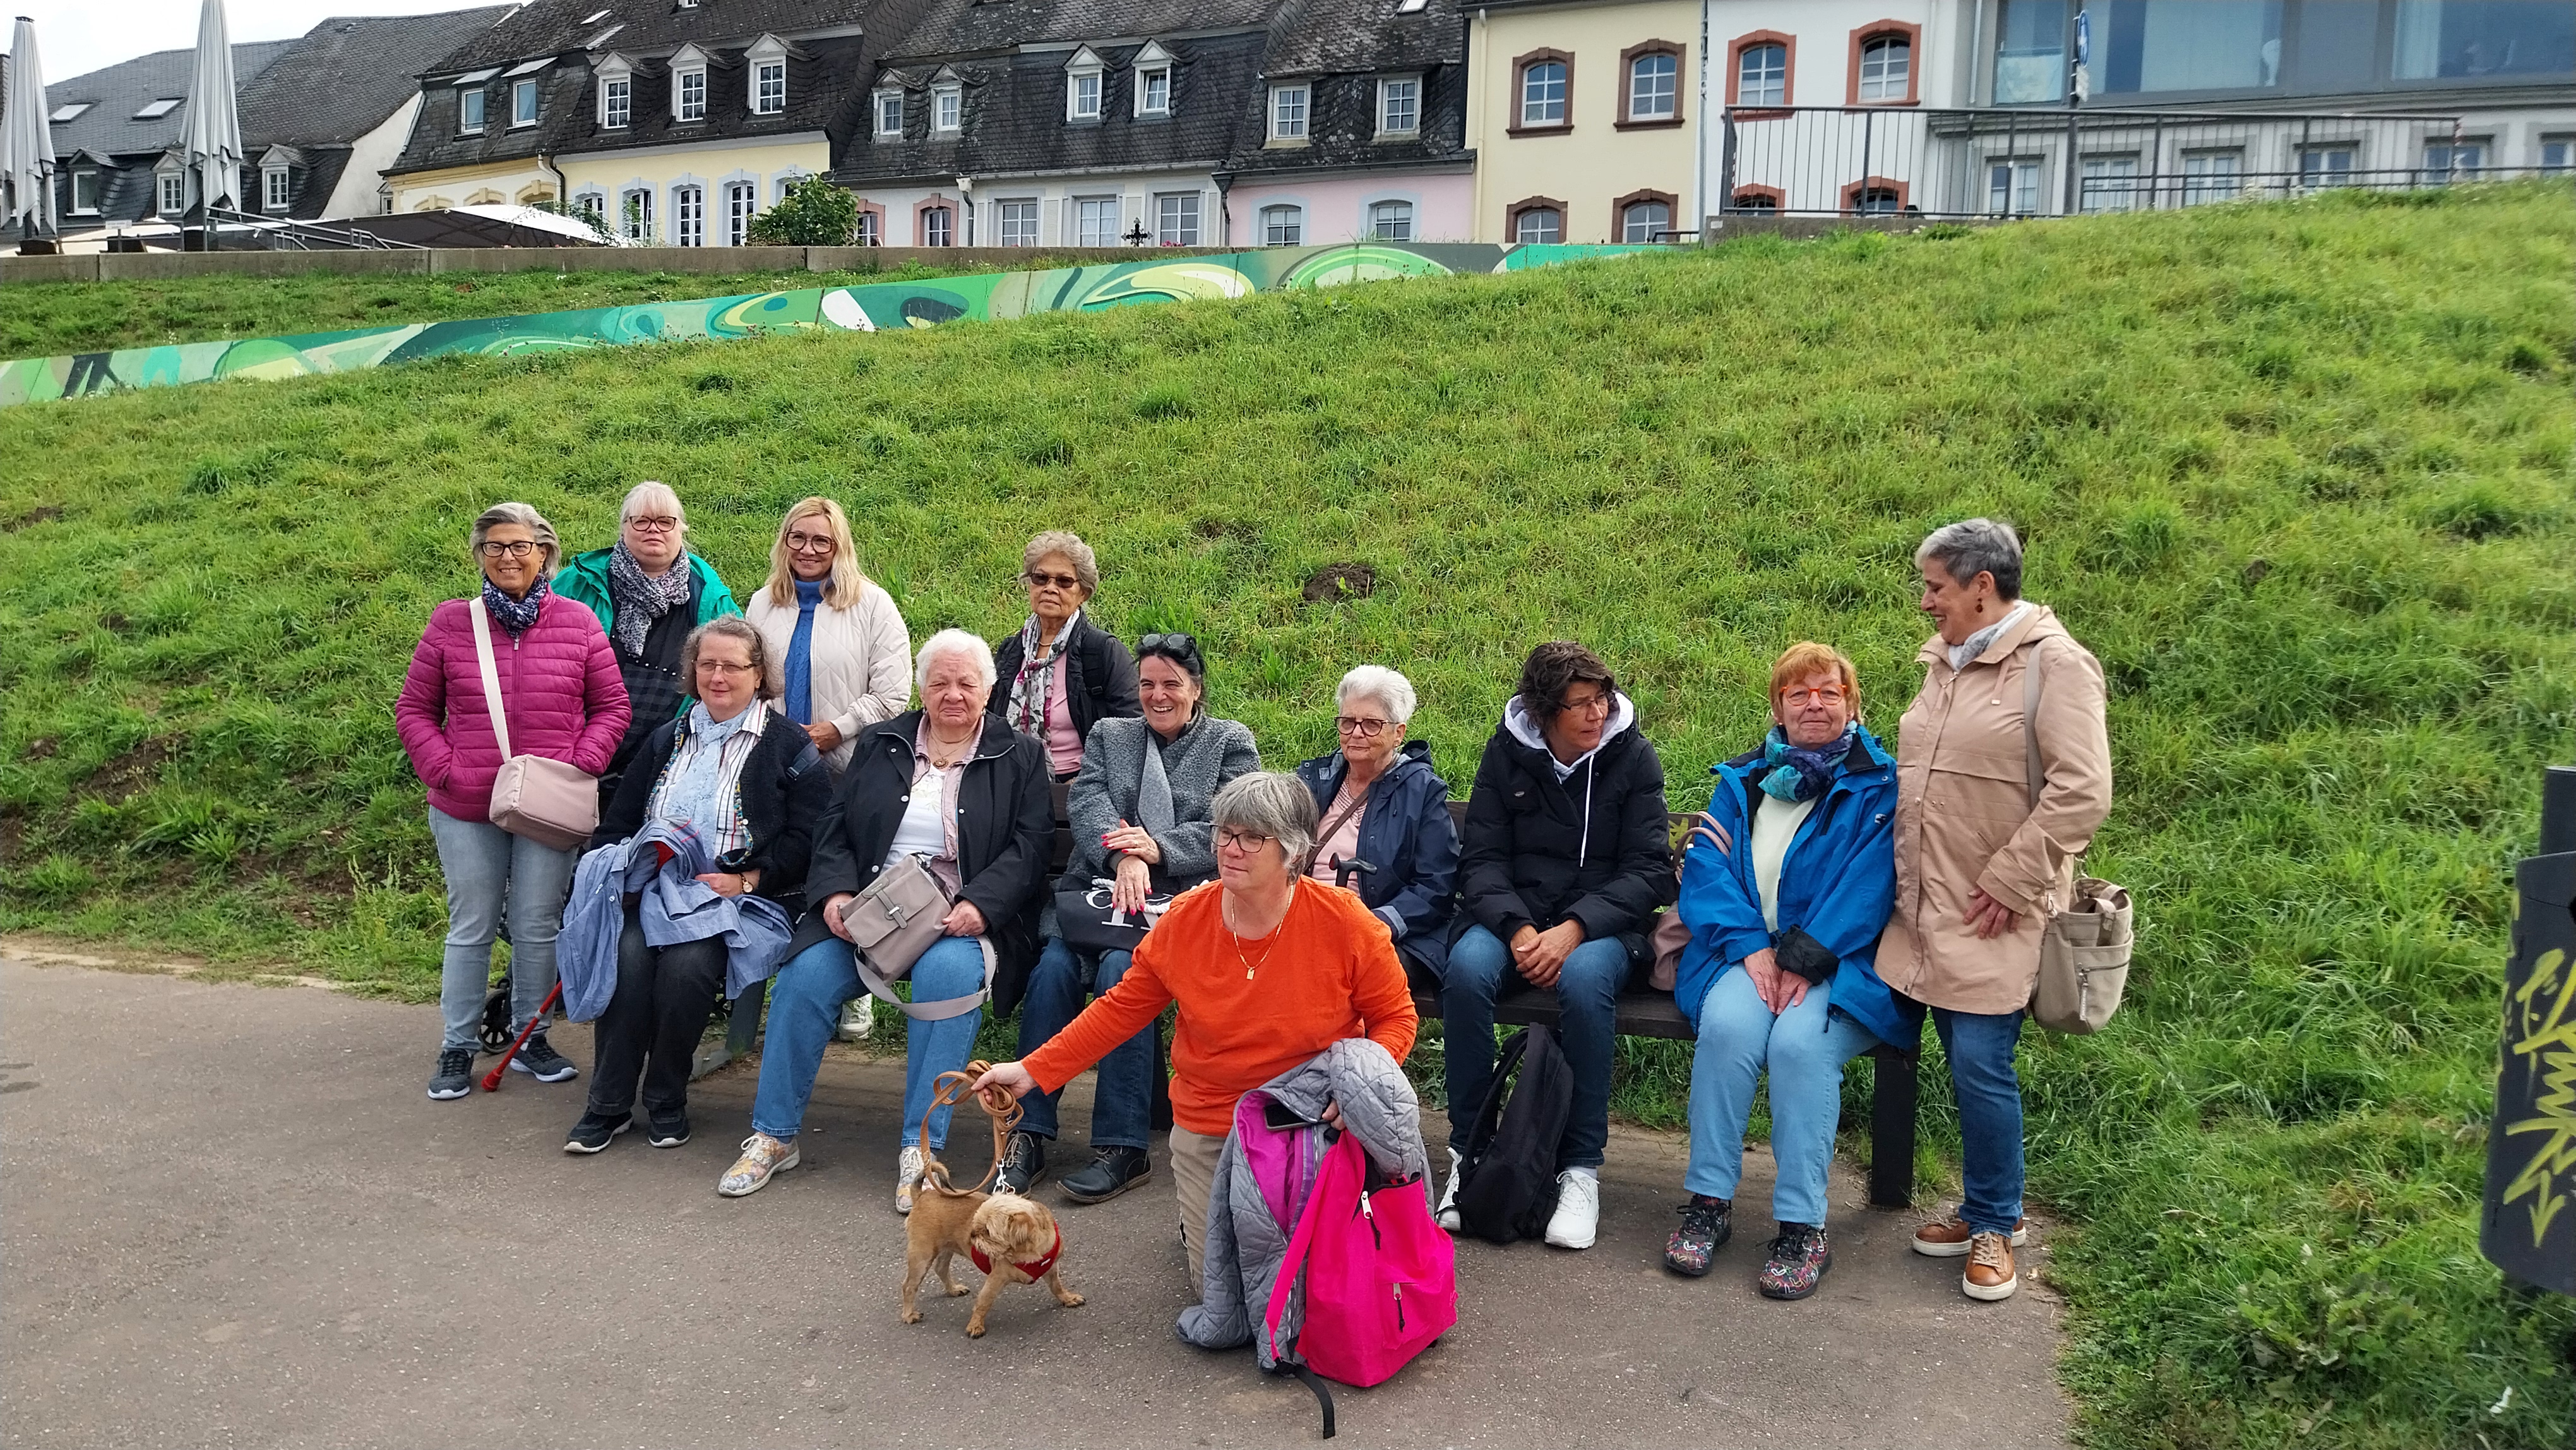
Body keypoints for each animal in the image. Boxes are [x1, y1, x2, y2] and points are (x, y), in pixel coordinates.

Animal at [902, 1190, 1082, 1339]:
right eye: (975, 1223)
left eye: (988, 1232)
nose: (972, 1234)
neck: (1027, 1253)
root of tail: (924, 1194)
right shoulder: (996, 1279)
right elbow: (984, 1302)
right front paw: (975, 1325)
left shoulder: (1051, 1269)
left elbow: (1057, 1287)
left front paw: (1068, 1298)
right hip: (922, 1256)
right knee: (909, 1286)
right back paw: (909, 1315)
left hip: (947, 1248)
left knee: (941, 1269)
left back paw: (953, 1289)